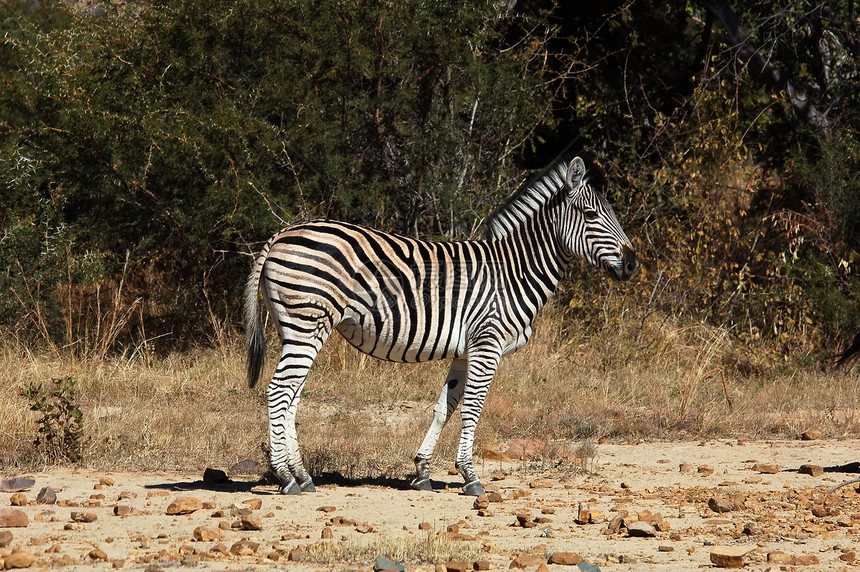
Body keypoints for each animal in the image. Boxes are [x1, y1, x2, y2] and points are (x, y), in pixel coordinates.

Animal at [245, 153, 640, 496]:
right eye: (590, 214)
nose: (634, 264)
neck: (514, 271)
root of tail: (282, 234)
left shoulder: (466, 351)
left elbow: (444, 407)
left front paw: (422, 471)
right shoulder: (487, 344)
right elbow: (472, 408)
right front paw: (470, 475)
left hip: (299, 329)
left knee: (292, 397)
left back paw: (302, 475)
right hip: (306, 323)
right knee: (278, 391)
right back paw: (286, 478)